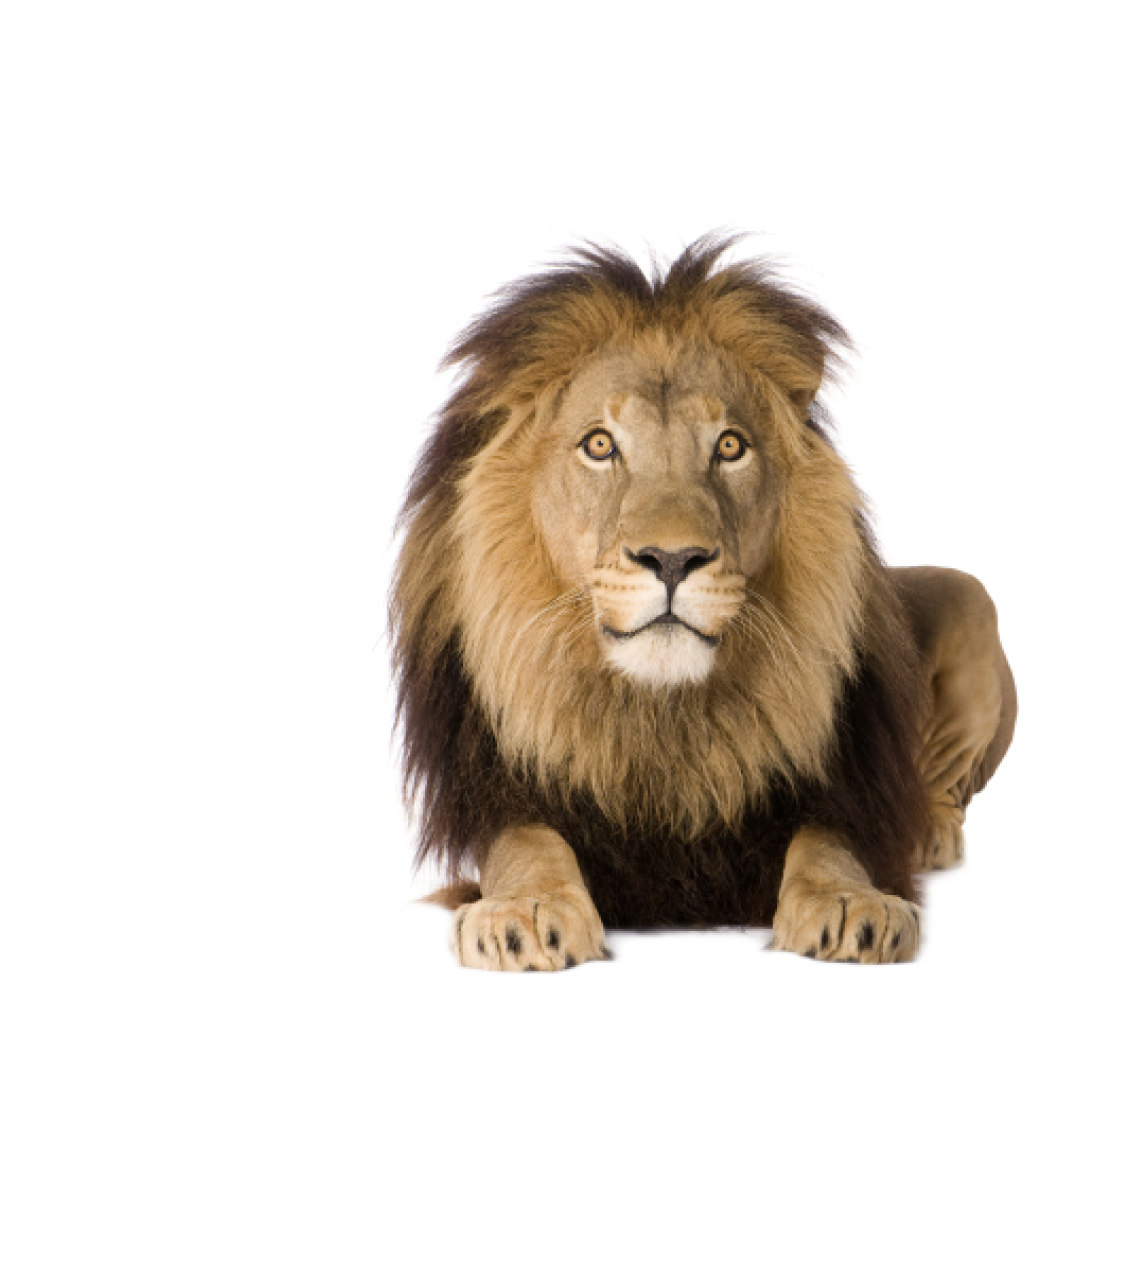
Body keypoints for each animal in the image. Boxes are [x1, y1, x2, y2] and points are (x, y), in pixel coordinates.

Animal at [391, 235, 1016, 969]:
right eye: (599, 444)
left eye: (730, 446)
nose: (672, 560)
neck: (664, 719)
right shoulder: (501, 794)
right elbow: (526, 843)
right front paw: (524, 911)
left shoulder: (836, 793)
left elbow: (828, 843)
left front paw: (850, 903)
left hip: (971, 598)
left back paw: (928, 831)